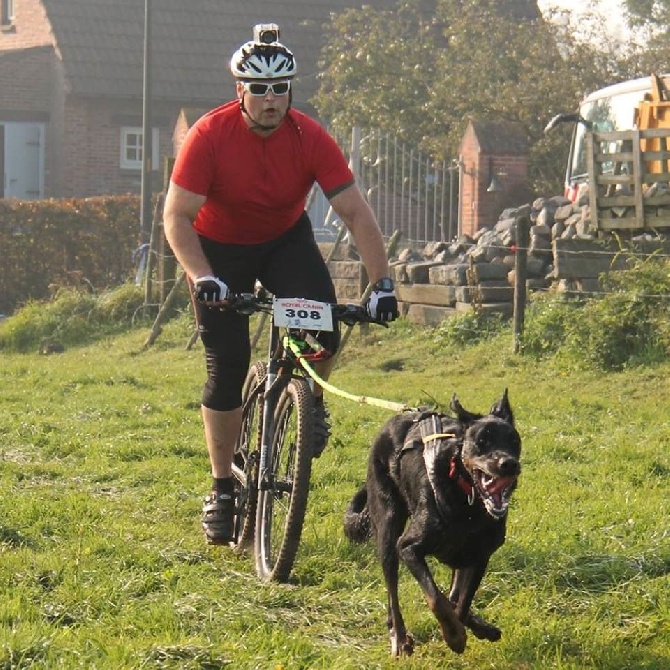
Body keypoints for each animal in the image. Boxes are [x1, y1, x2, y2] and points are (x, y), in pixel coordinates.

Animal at [346, 392, 524, 660]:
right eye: (482, 441)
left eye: (514, 441)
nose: (509, 463)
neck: (468, 499)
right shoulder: (408, 547)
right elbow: (436, 599)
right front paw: (454, 636)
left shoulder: (478, 556)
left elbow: (460, 603)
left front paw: (469, 628)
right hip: (388, 528)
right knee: (392, 591)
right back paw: (399, 637)